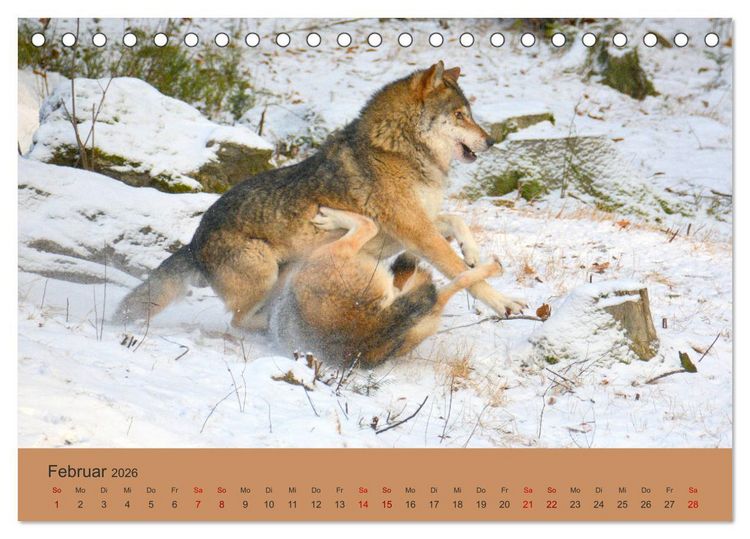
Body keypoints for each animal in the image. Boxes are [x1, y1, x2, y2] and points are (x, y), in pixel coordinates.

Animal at [114, 61, 526, 328]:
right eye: (459, 115)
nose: (491, 141)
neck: (397, 150)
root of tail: (192, 244)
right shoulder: (417, 232)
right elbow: (462, 274)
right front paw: (505, 302)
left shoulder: (418, 226)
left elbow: (457, 221)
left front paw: (472, 253)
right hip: (265, 272)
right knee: (238, 321)